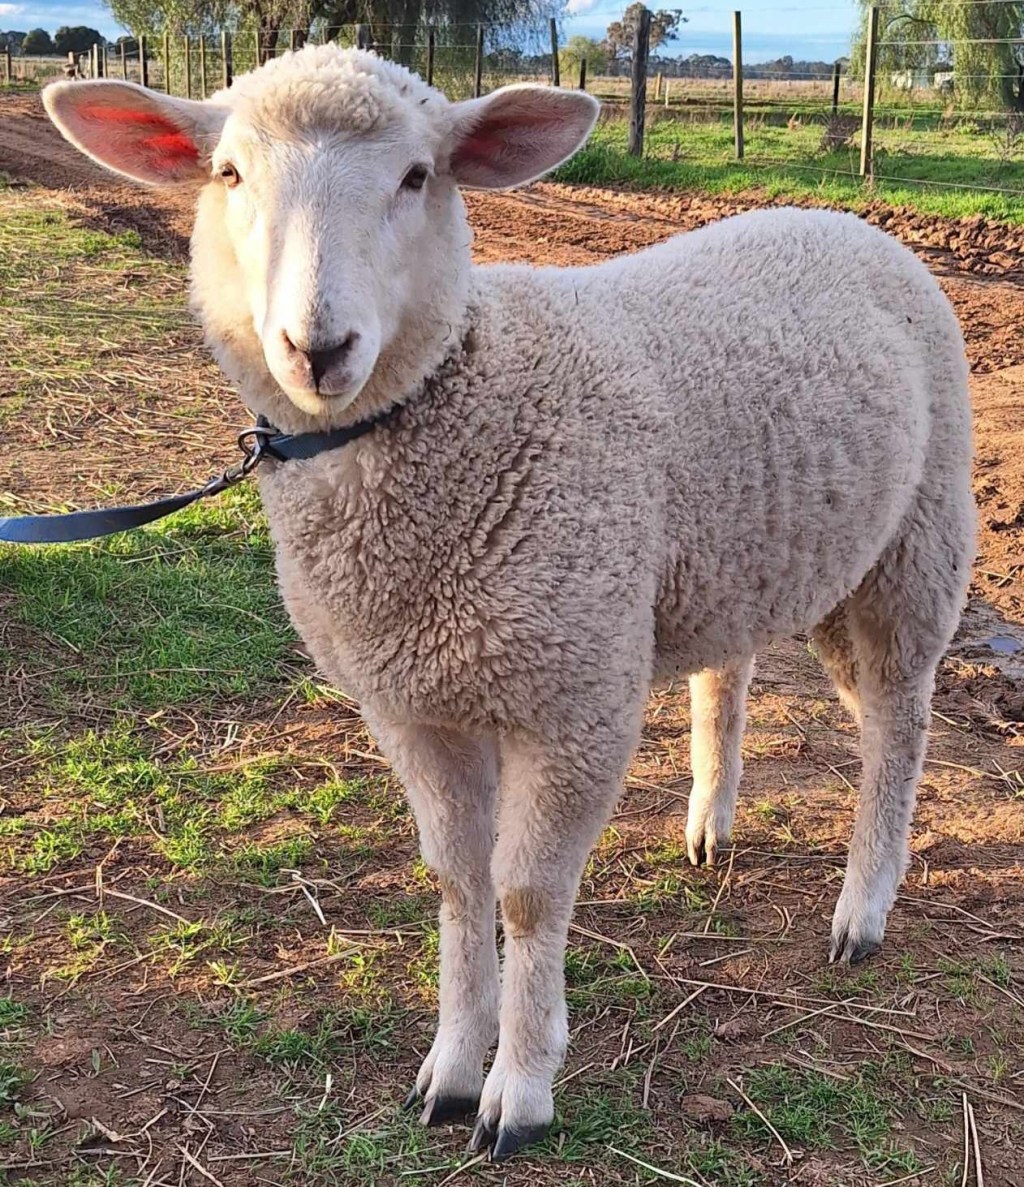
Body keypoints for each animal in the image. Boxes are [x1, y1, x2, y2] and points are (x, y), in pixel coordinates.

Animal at [43, 45, 975, 1161]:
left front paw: (518, 1089)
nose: (318, 346)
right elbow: (456, 880)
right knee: (728, 671)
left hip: (913, 542)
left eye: (418, 177)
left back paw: (862, 906)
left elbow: (526, 894)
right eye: (228, 175)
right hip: (732, 553)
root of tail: (844, 220)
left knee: (896, 727)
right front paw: (450, 1066)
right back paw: (710, 819)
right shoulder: (413, 704)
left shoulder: (572, 698)